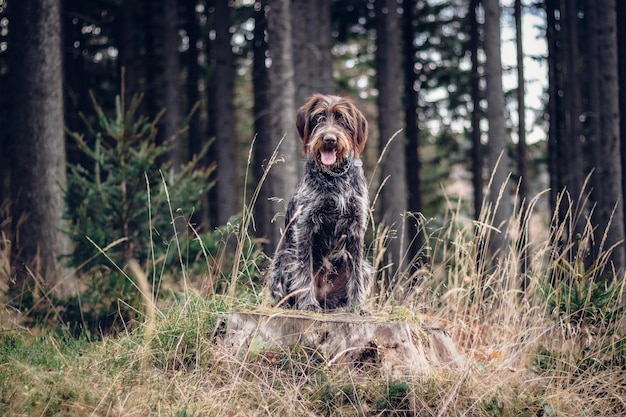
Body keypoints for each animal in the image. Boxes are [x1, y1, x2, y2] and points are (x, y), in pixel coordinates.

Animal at [264, 92, 370, 310]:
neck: (335, 176)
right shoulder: (305, 224)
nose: (329, 139)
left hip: (365, 267)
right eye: (319, 117)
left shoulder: (356, 226)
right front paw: (308, 304)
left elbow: (355, 273)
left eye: (342, 119)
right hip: (284, 258)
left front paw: (358, 305)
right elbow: (304, 269)